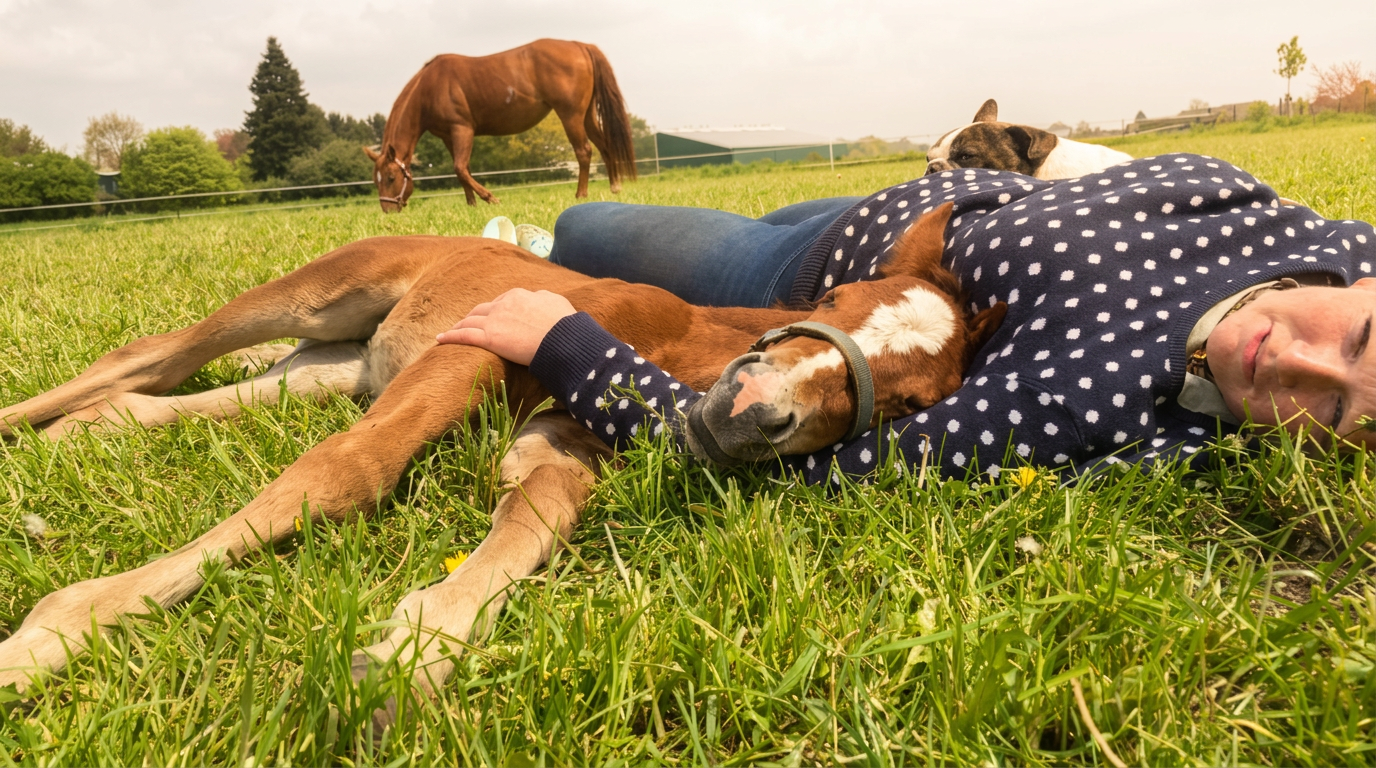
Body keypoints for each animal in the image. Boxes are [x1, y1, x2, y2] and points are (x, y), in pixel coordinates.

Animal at [0, 203, 1003, 729]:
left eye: (909, 403)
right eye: (833, 301)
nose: (752, 407)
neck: (681, 347)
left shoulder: (557, 445)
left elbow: (528, 529)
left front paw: (405, 655)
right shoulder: (473, 353)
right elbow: (346, 473)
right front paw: (59, 631)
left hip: (339, 366)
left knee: (155, 397)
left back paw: (73, 438)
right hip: (320, 296)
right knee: (148, 356)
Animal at [364, 38, 638, 211]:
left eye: (390, 177)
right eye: (376, 180)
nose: (388, 210)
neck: (429, 87)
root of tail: (578, 45)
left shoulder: (462, 129)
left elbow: (460, 168)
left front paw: (490, 199)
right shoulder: (447, 135)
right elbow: (463, 171)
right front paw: (472, 204)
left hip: (570, 115)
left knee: (584, 151)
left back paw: (581, 194)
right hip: (586, 114)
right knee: (604, 145)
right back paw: (615, 187)